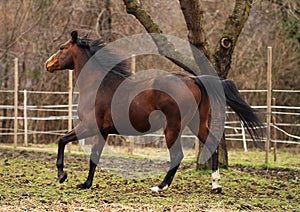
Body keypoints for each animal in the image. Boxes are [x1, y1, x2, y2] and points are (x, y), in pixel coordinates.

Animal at [45, 30, 264, 193]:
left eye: (62, 48)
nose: (48, 64)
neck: (98, 85)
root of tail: (194, 79)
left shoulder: (89, 126)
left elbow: (62, 140)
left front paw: (62, 175)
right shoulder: (102, 132)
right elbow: (94, 157)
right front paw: (86, 184)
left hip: (173, 128)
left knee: (177, 156)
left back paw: (160, 186)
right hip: (197, 123)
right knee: (211, 144)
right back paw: (215, 185)